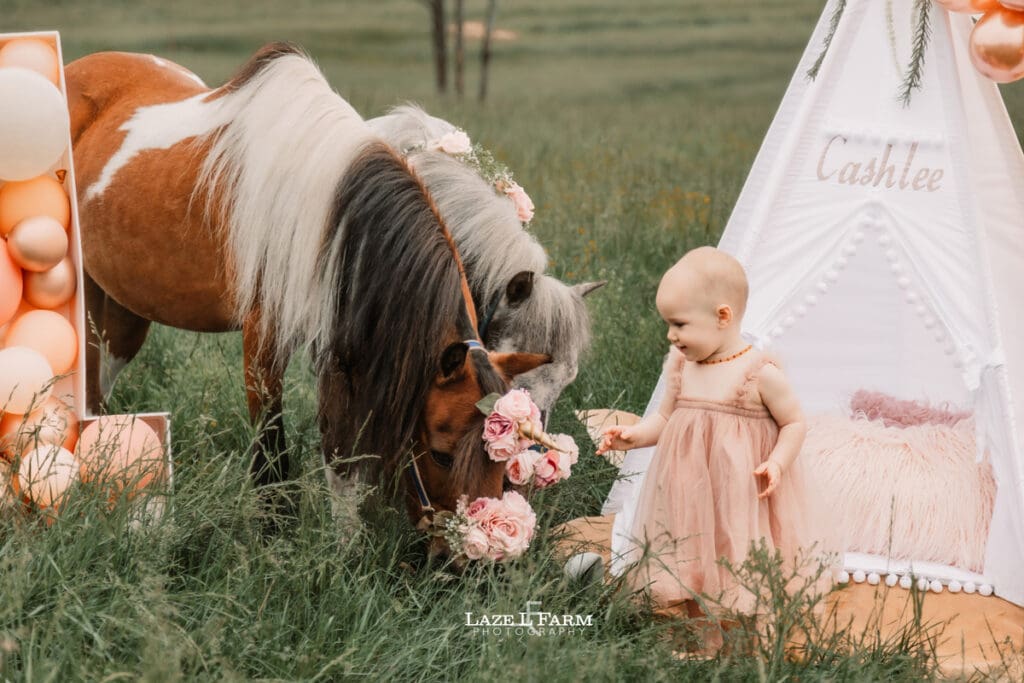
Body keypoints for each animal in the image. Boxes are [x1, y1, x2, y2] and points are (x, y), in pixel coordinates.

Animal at [65, 43, 549, 549]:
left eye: (507, 453)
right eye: (440, 453)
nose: (471, 557)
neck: (331, 218)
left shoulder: (344, 350)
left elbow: (339, 452)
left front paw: (346, 545)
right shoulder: (265, 339)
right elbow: (272, 445)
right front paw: (275, 530)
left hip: (122, 315)